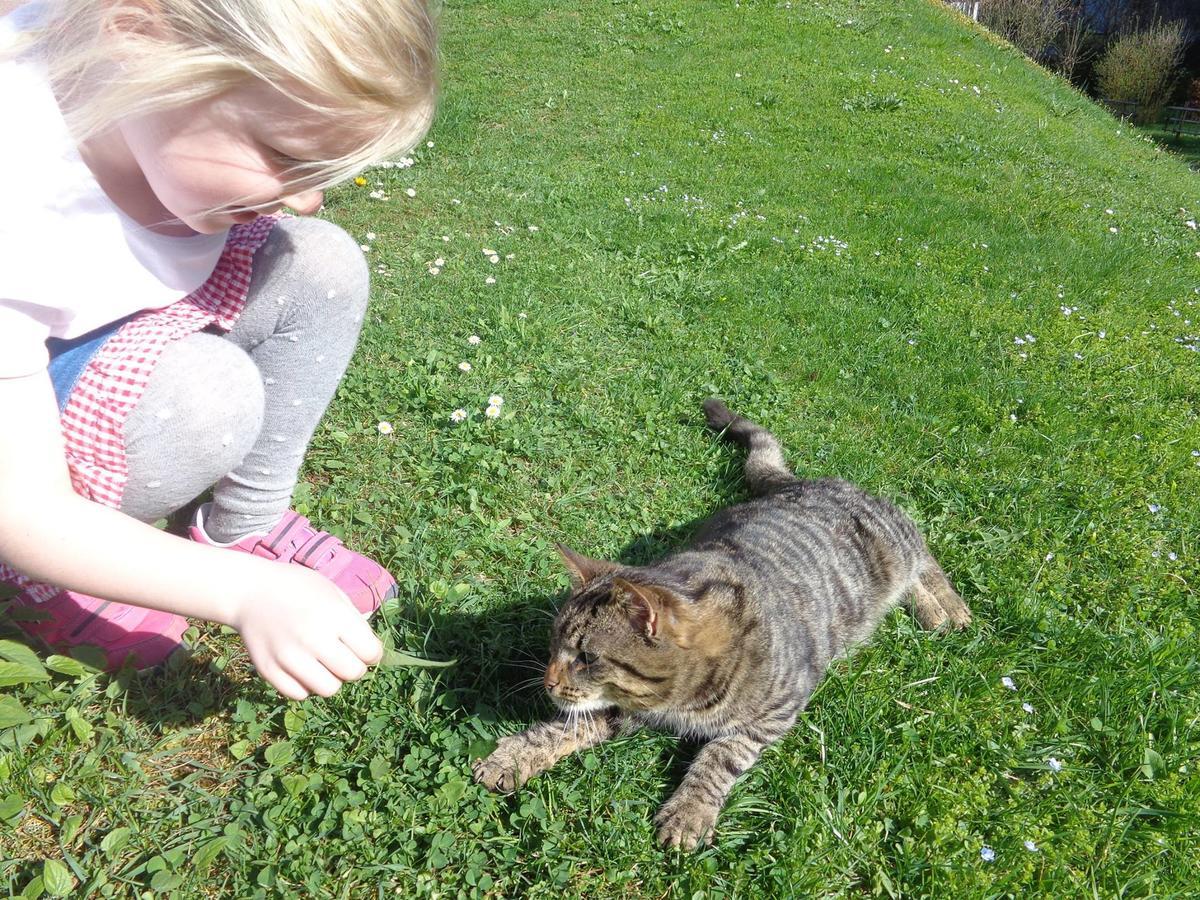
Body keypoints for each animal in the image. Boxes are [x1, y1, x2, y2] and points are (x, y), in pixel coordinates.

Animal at [472, 400, 969, 854]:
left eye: (586, 657)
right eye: (554, 644)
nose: (548, 681)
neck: (678, 700)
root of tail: (799, 482)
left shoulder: (774, 714)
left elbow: (719, 756)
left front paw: (689, 810)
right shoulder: (623, 706)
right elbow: (562, 728)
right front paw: (514, 755)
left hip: (896, 543)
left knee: (924, 553)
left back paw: (943, 607)